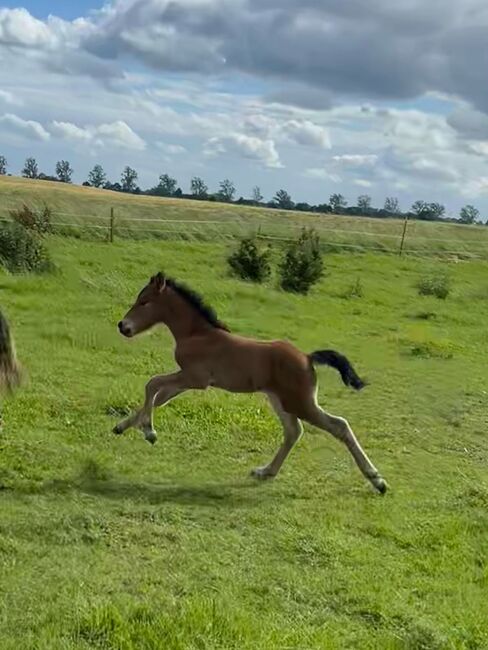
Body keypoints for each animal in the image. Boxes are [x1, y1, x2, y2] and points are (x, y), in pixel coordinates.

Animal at [114, 272, 387, 494]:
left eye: (144, 302)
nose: (122, 326)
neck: (197, 334)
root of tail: (308, 358)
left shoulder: (195, 378)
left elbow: (152, 384)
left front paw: (149, 432)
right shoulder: (186, 380)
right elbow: (158, 397)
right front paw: (122, 426)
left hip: (300, 402)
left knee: (338, 425)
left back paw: (378, 480)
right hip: (280, 400)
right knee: (293, 431)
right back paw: (265, 472)